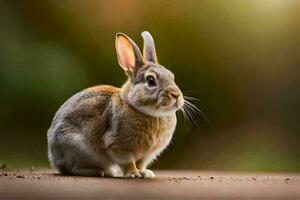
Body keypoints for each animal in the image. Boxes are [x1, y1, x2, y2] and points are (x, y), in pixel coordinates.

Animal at [46, 31, 185, 178]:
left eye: (172, 77)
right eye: (151, 81)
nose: (176, 95)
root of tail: (53, 158)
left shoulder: (145, 156)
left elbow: (140, 164)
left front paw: (145, 173)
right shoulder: (118, 145)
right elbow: (129, 162)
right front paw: (133, 174)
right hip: (78, 148)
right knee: (72, 168)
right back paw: (100, 172)